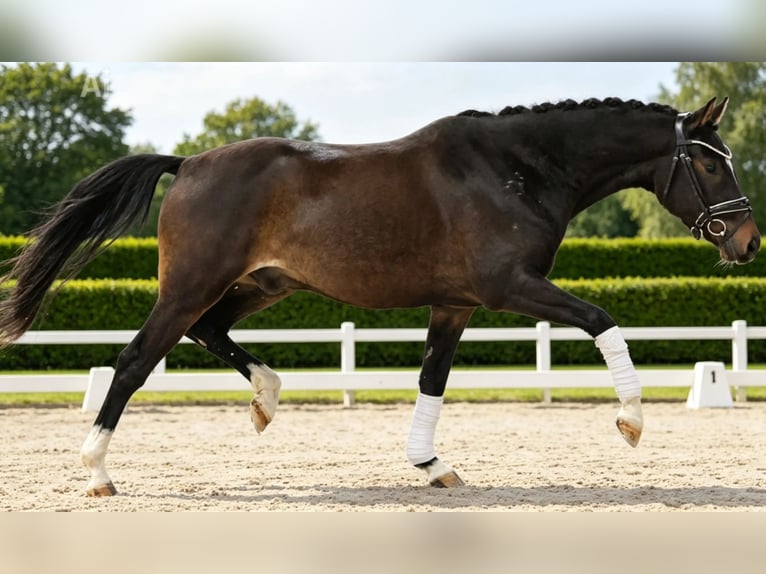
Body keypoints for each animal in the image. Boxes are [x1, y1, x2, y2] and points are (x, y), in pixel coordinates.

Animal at [0, 96, 759, 496]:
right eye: (708, 164)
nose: (749, 241)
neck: (515, 170)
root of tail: (187, 164)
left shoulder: (455, 304)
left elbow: (432, 380)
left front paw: (433, 465)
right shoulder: (510, 288)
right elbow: (603, 320)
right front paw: (631, 420)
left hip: (259, 284)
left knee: (209, 333)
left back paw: (267, 398)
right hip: (190, 286)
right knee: (133, 362)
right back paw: (97, 472)